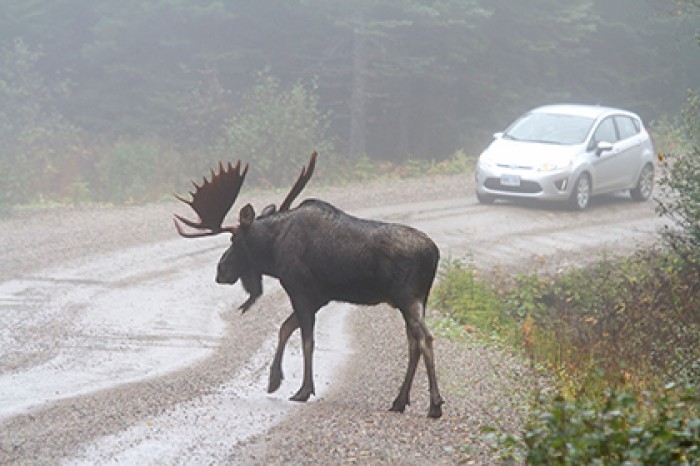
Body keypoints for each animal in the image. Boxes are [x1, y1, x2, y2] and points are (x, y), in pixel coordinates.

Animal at [178, 153, 446, 418]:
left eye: (234, 238)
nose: (220, 270)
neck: (273, 252)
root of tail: (434, 253)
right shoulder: (319, 297)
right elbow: (285, 328)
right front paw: (274, 380)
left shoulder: (299, 289)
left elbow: (306, 340)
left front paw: (303, 390)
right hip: (417, 299)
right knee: (413, 342)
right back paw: (399, 401)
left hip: (407, 296)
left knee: (425, 339)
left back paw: (434, 404)